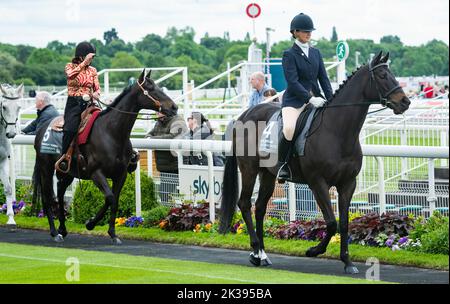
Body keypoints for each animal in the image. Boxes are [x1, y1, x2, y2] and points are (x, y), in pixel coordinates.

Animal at [32, 70, 178, 243]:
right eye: (151, 88)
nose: (174, 107)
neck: (111, 132)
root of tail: (42, 128)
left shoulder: (120, 175)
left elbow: (114, 201)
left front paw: (112, 233)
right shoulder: (96, 173)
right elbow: (109, 197)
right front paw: (90, 223)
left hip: (68, 172)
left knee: (60, 191)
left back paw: (62, 228)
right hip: (46, 169)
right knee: (47, 197)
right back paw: (55, 233)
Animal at [219, 51, 412, 274]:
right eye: (382, 75)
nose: (405, 102)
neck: (337, 131)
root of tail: (243, 116)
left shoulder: (348, 183)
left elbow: (344, 223)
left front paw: (347, 262)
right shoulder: (317, 182)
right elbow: (331, 223)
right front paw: (313, 250)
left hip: (267, 173)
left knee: (259, 207)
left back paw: (262, 255)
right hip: (249, 170)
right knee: (244, 204)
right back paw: (256, 250)